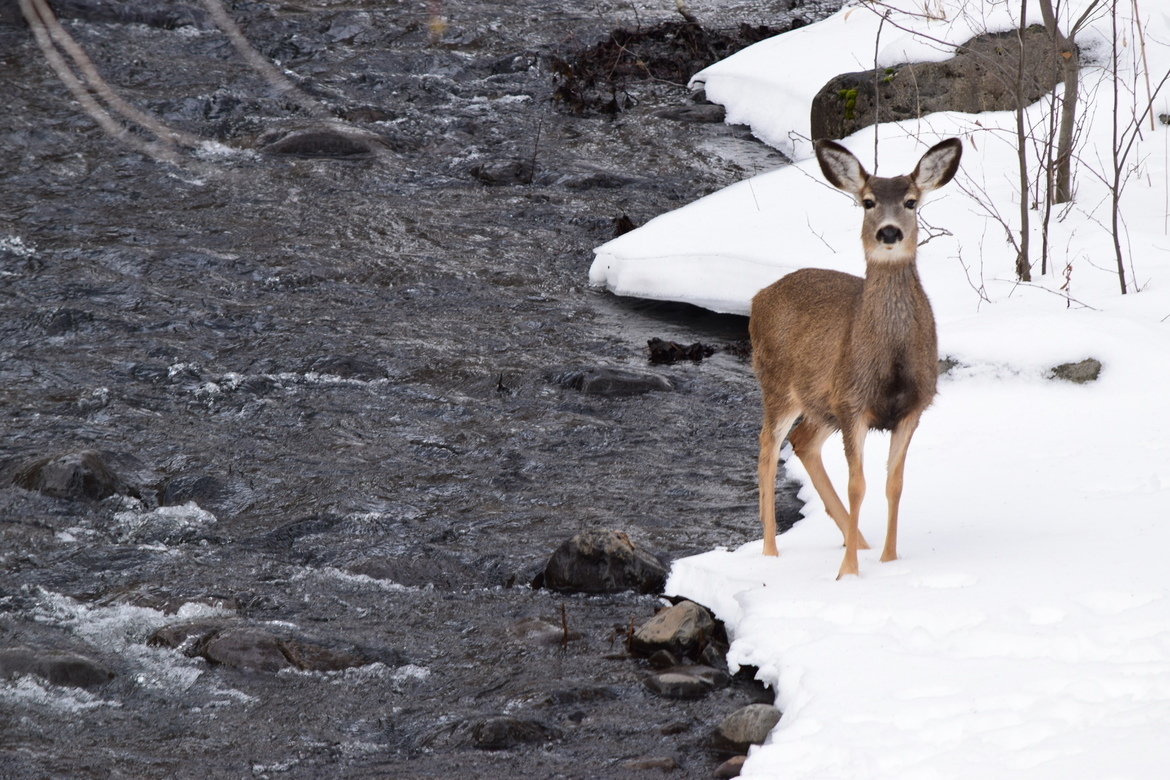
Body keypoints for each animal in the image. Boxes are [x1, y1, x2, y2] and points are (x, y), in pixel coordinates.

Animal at [750, 137, 962, 579]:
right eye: (867, 202)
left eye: (911, 202)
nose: (889, 231)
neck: (890, 360)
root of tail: (757, 298)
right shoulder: (852, 402)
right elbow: (857, 484)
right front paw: (848, 574)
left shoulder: (912, 406)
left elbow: (893, 485)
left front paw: (889, 560)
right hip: (777, 384)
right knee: (767, 448)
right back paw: (771, 553)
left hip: (819, 404)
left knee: (802, 441)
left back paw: (858, 540)